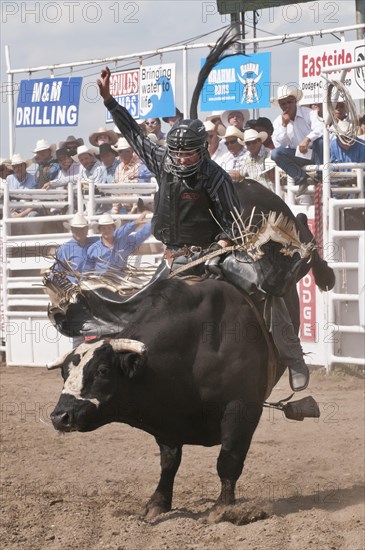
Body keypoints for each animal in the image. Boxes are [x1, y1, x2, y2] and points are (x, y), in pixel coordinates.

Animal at [49, 182, 334, 520]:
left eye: (103, 370)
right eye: (65, 372)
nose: (60, 416)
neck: (193, 350)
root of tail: (241, 180)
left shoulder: (242, 407)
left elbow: (228, 459)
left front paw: (223, 508)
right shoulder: (165, 414)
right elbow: (169, 461)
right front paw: (157, 503)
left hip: (286, 234)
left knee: (303, 235)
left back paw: (326, 274)